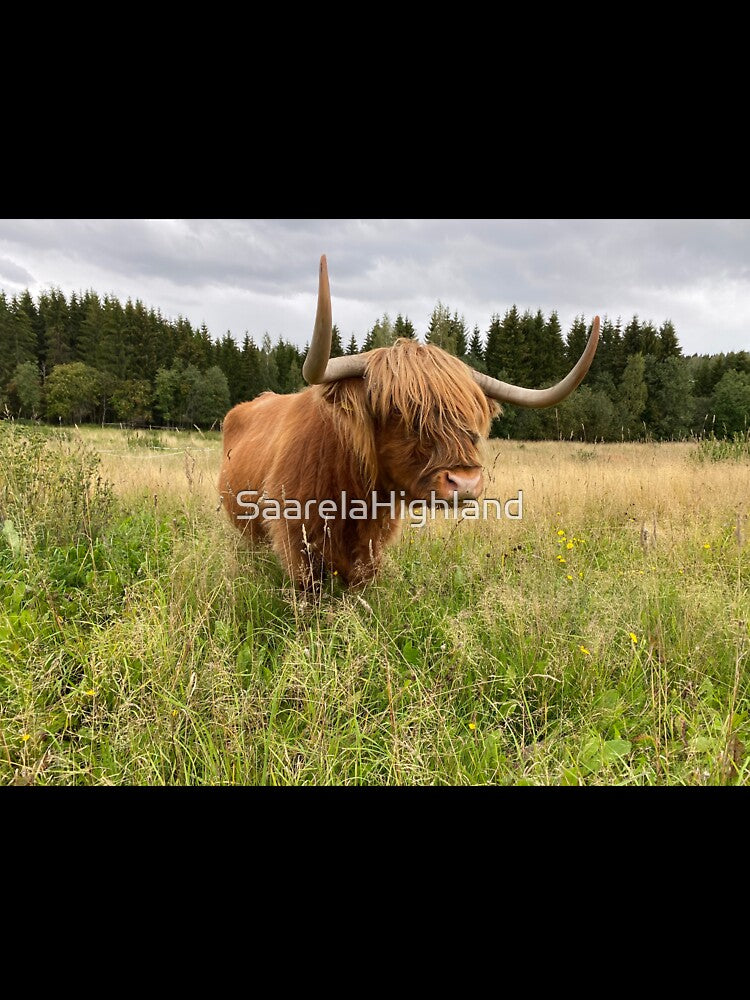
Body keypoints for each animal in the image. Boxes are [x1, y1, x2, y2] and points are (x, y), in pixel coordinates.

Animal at [219, 255, 599, 587]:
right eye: (398, 411)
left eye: (470, 416)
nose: (465, 482)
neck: (352, 496)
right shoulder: (297, 545)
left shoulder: (370, 551)